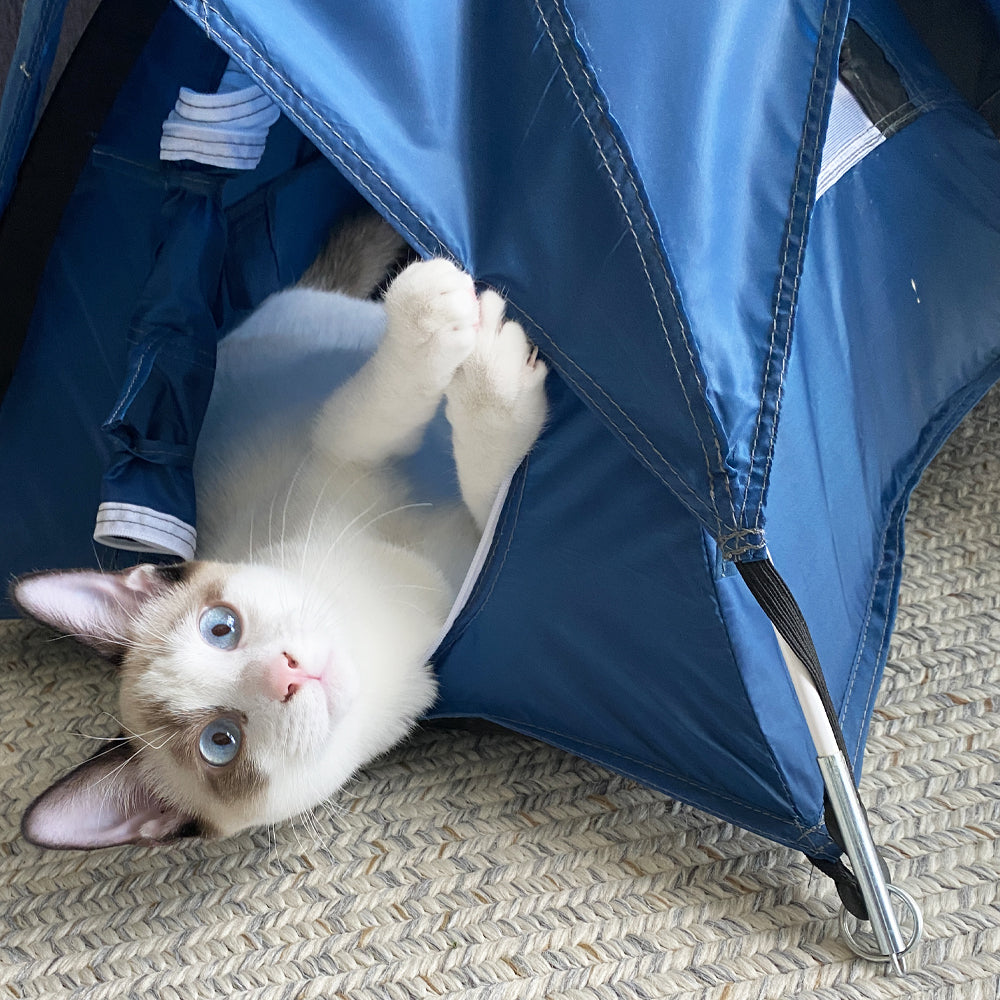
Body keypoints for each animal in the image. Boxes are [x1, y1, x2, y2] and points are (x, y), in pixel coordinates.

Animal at [13, 215, 548, 848]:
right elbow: (494, 502)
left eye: (220, 628)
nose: (287, 673)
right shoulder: (463, 555)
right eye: (221, 742)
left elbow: (367, 423)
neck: (381, 630)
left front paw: (439, 319)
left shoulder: (346, 462)